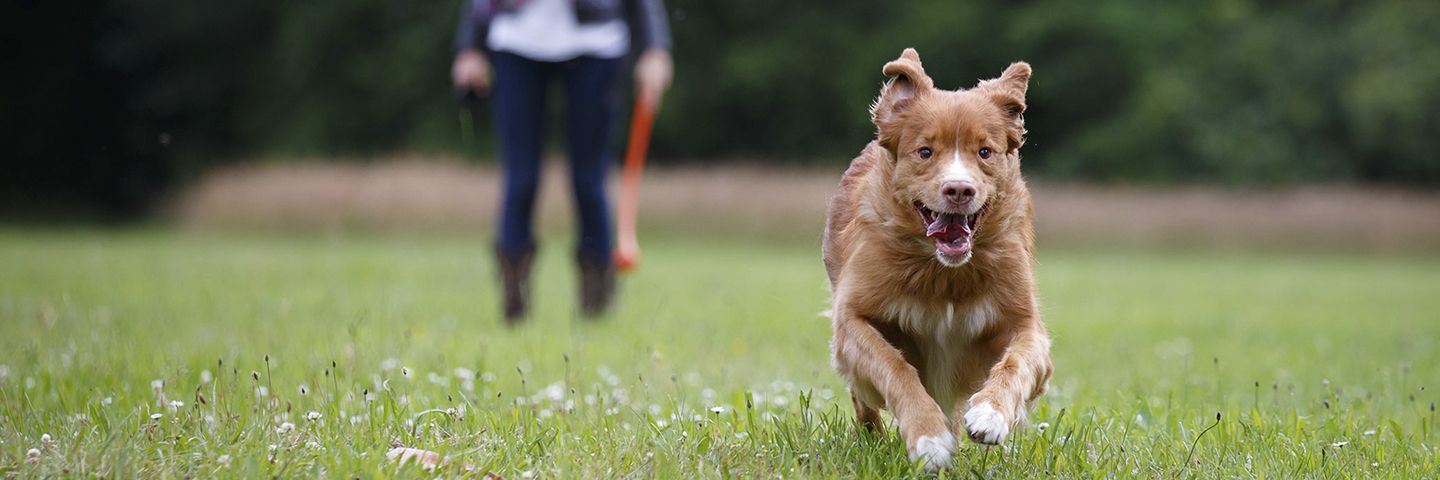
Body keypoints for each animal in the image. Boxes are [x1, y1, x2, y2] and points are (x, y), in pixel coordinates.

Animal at [829, 49, 1054, 469]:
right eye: (924, 152)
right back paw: (871, 436)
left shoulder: (1024, 322)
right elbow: (894, 366)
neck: (942, 272)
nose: (959, 189)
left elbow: (1017, 361)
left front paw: (990, 414)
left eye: (984, 152)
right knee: (862, 398)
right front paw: (928, 438)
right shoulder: (852, 317)